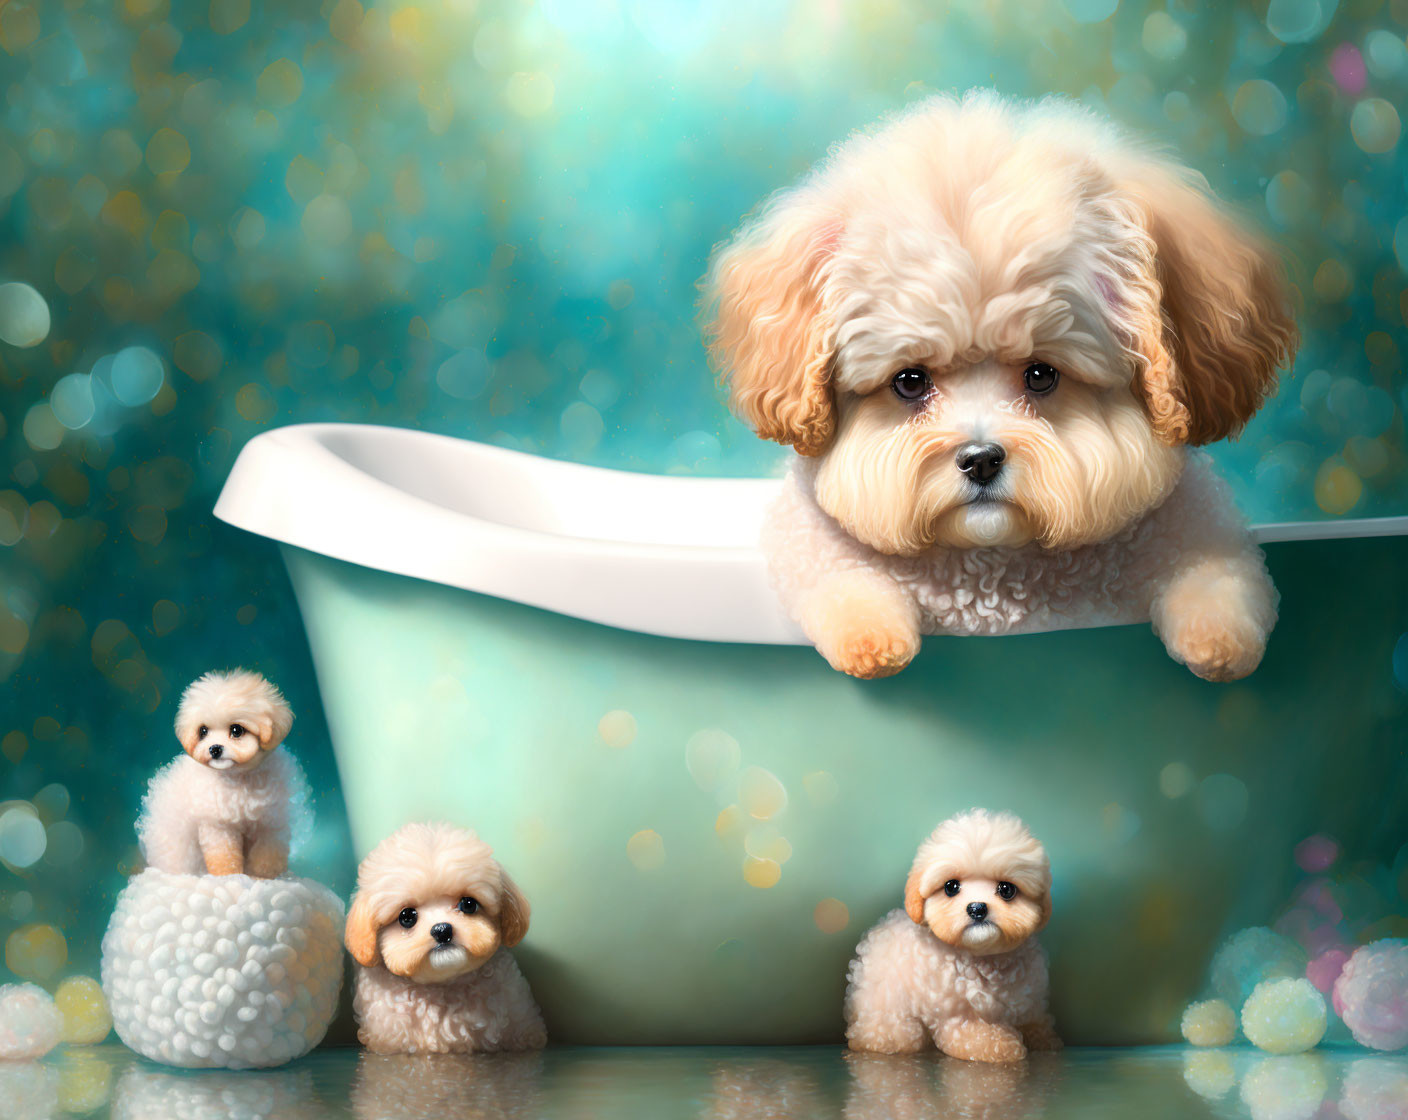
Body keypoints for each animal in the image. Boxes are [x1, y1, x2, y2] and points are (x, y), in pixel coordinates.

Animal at [704, 92, 1295, 684]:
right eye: (910, 381)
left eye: (1041, 374)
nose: (981, 459)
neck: (995, 570)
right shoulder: (805, 537)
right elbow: (840, 576)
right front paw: (870, 636)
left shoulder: (1197, 527)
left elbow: (1219, 575)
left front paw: (1219, 640)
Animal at [839, 811, 1058, 1065]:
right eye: (951, 887)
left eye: (1006, 889)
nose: (977, 908)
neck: (983, 958)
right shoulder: (955, 1013)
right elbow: (973, 1032)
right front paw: (999, 1046)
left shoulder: (1028, 998)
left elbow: (1034, 1018)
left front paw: (1043, 1037)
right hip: (884, 1005)